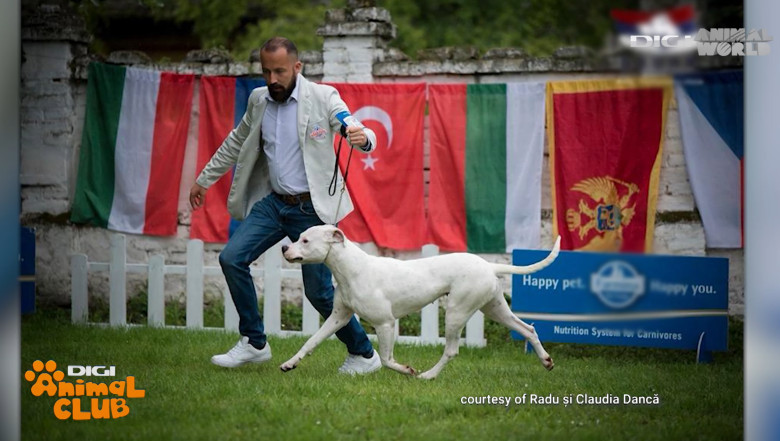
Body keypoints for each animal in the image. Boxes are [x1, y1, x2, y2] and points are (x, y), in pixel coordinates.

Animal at [280, 223, 560, 378]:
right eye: (299, 236)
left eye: (305, 240)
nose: (284, 248)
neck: (351, 269)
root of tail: (488, 264)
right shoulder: (338, 317)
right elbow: (310, 342)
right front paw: (289, 364)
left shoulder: (385, 324)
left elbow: (386, 359)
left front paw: (407, 370)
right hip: (495, 309)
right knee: (528, 328)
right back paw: (546, 361)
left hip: (456, 313)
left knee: (451, 350)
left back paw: (428, 376)